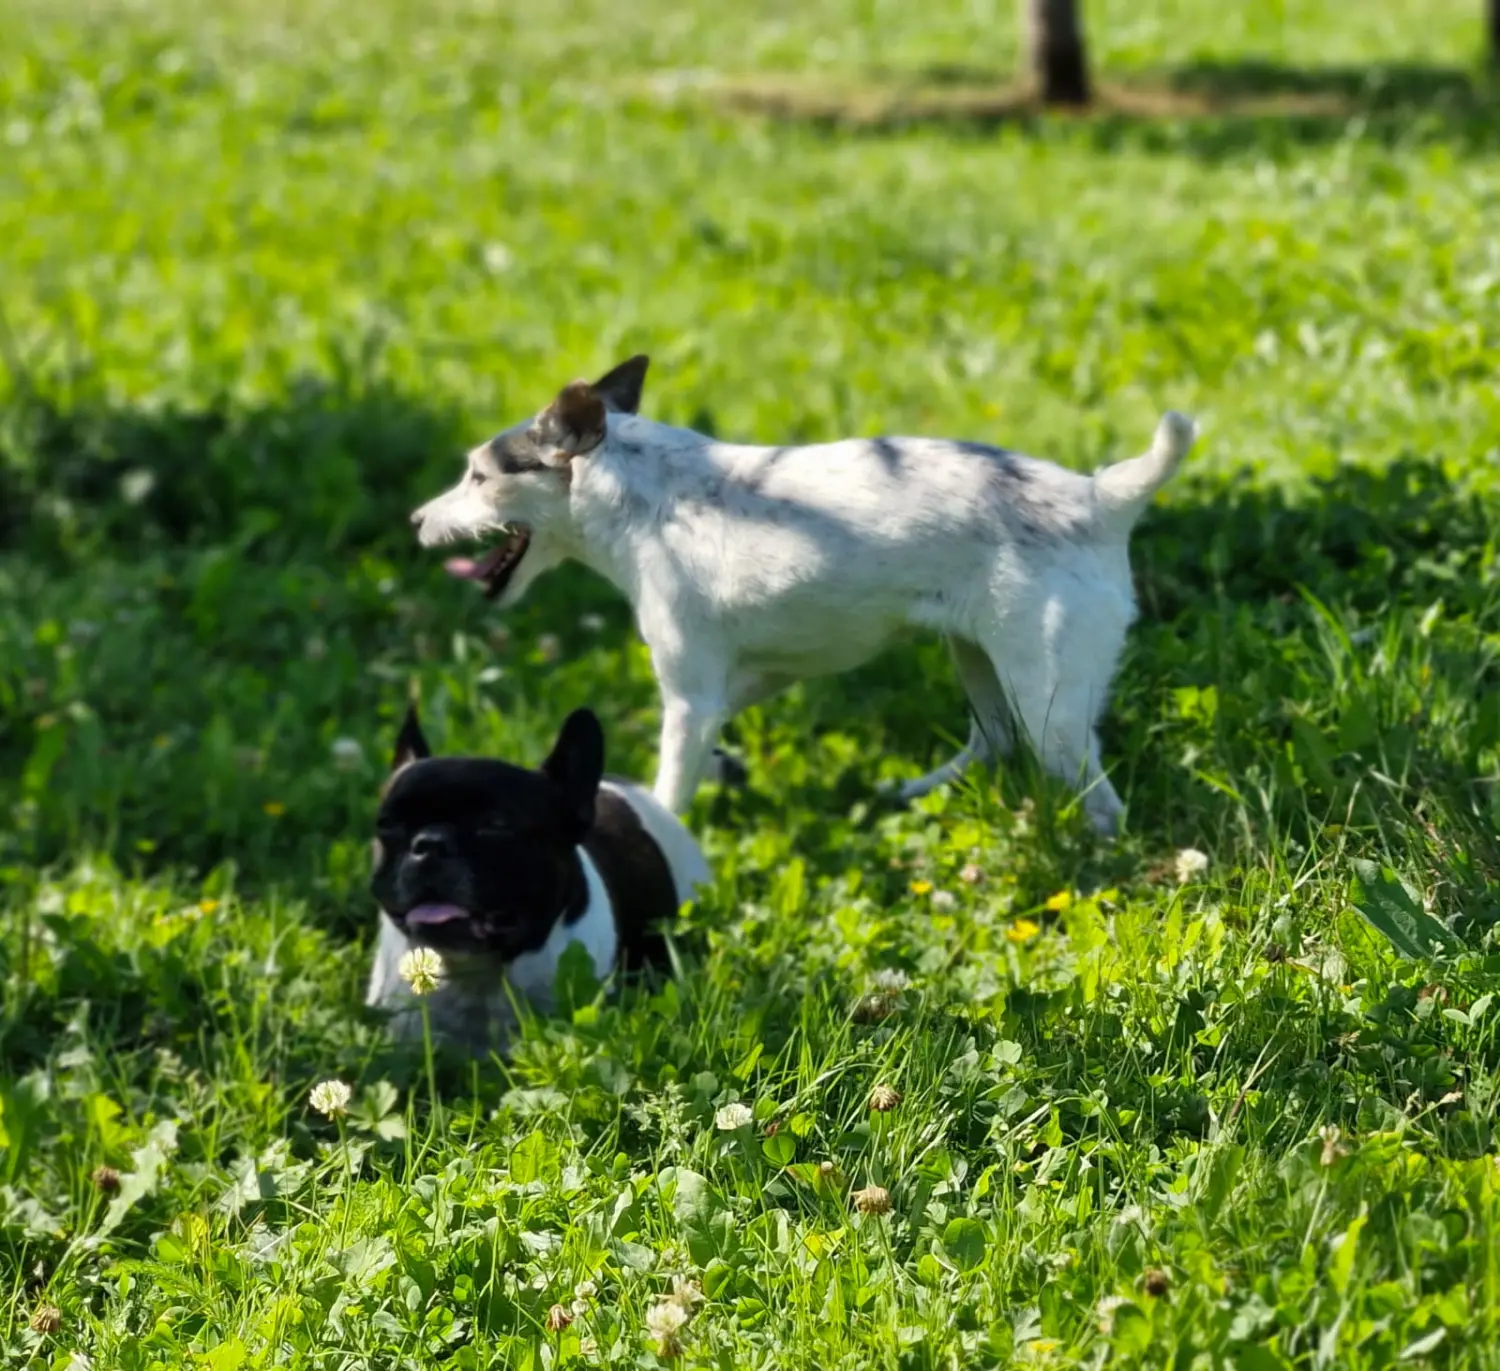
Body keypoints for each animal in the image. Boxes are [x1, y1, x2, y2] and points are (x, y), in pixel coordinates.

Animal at [411, 355, 1194, 834]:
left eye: (479, 478)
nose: (417, 520)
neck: (646, 495)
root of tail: (1100, 499)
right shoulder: (752, 679)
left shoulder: (691, 696)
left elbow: (671, 788)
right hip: (978, 657)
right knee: (993, 740)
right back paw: (905, 794)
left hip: (1049, 704)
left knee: (1099, 801)